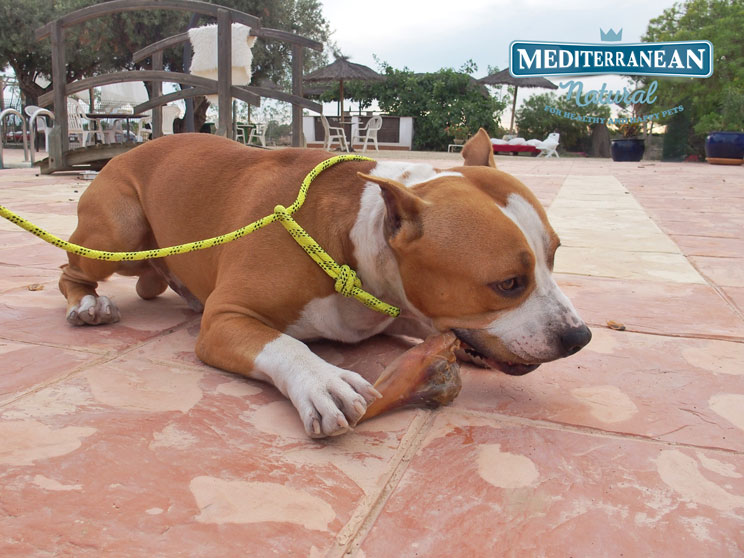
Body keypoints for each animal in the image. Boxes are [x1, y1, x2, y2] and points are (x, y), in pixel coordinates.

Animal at [58, 129, 588, 440]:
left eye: (554, 256)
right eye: (508, 283)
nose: (579, 336)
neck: (355, 243)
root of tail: (125, 151)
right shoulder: (226, 318)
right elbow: (285, 345)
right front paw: (322, 381)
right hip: (118, 228)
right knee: (71, 272)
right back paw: (88, 305)